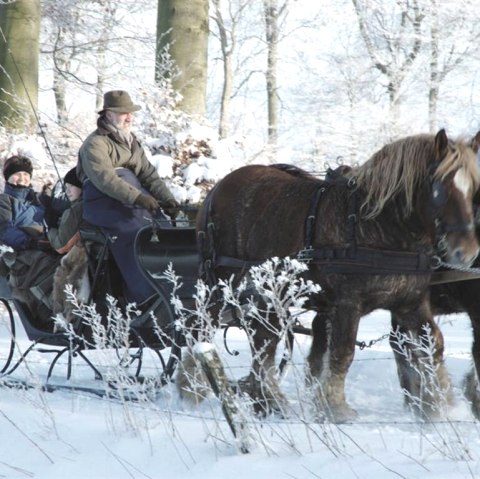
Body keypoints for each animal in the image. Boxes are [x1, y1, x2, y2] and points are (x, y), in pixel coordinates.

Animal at [188, 129, 480, 422]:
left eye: (473, 191)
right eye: (440, 190)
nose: (466, 252)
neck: (376, 226)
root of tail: (217, 188)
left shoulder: (411, 303)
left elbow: (433, 345)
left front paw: (440, 406)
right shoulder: (347, 304)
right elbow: (342, 353)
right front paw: (336, 407)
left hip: (267, 296)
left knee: (263, 342)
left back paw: (267, 401)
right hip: (219, 286)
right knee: (200, 329)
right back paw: (195, 391)